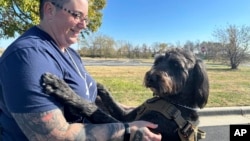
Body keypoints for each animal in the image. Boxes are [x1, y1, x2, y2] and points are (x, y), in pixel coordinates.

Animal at [41, 48, 209, 140]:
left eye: (176, 65)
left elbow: (95, 110)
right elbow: (111, 103)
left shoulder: (145, 128)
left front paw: (62, 88)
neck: (172, 102)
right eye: (157, 61)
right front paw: (99, 86)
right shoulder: (126, 116)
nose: (150, 77)